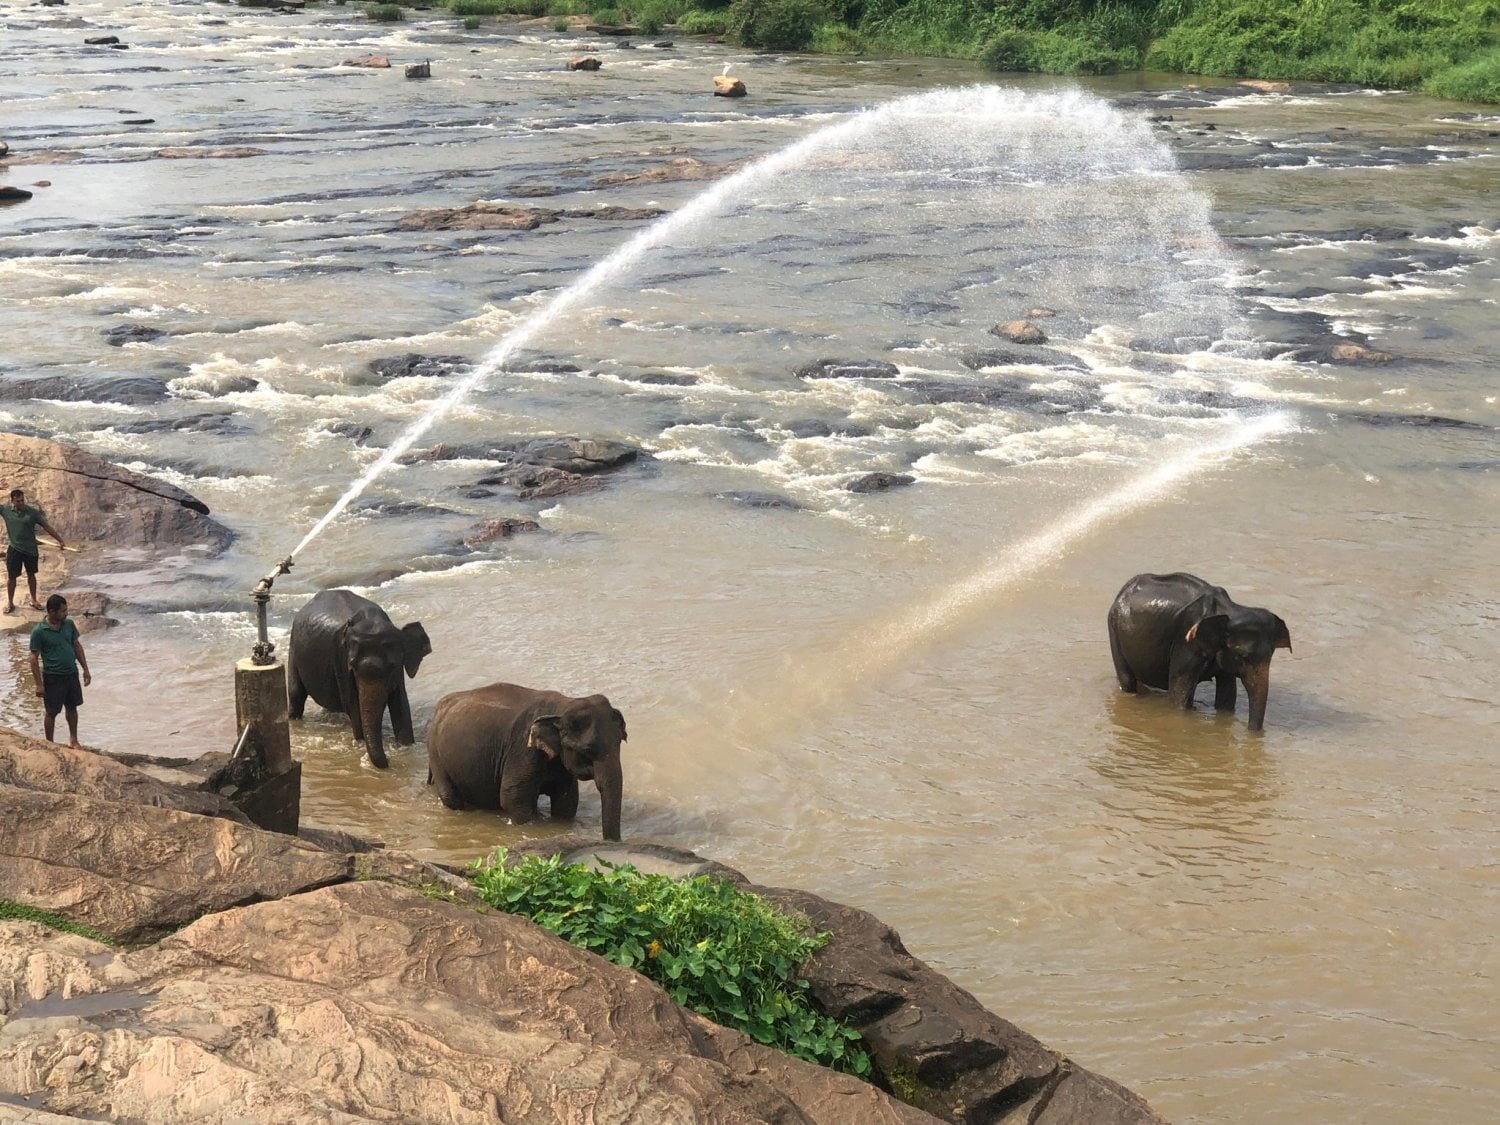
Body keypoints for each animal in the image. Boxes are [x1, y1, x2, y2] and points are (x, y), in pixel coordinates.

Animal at [286, 591, 432, 768]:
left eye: (392, 666)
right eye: (353, 667)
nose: (389, 759)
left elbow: (401, 705)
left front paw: (405, 747)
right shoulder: (341, 659)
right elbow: (353, 705)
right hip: (293, 646)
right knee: (296, 694)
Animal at [426, 684, 624, 840]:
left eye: (621, 742)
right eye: (587, 750)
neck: (563, 706)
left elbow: (567, 801)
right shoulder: (523, 749)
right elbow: (513, 797)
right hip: (435, 753)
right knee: (451, 797)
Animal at [1110, 573, 1296, 732]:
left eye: (1271, 656)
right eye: (1243, 657)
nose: (1253, 733)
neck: (1228, 609)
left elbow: (1227, 695)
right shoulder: (1186, 642)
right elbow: (1180, 694)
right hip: (1114, 630)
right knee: (1127, 680)